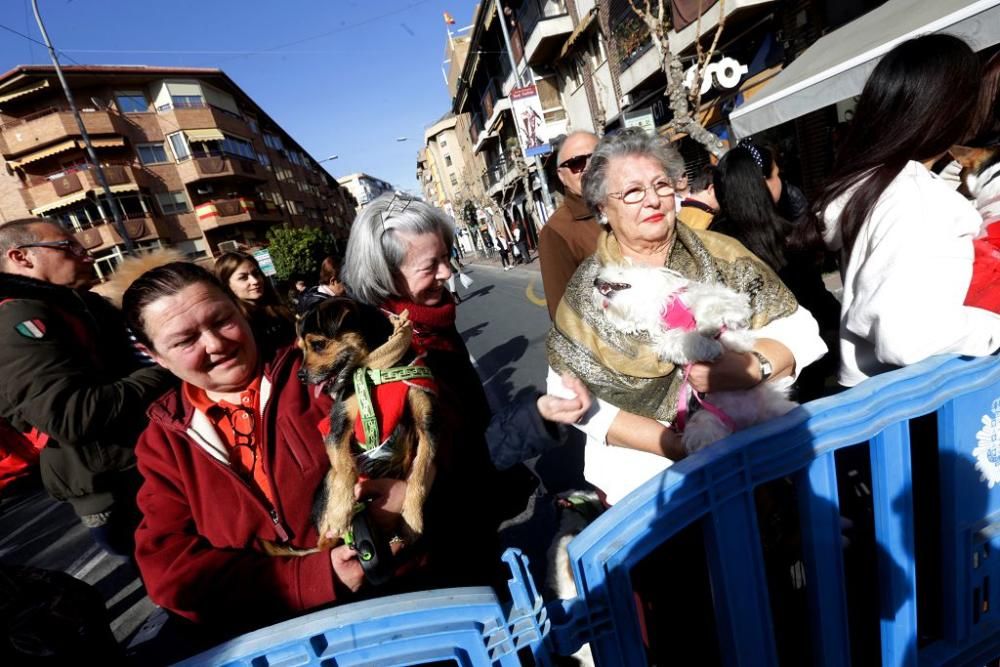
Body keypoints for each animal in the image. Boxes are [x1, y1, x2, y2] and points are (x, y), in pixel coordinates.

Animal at [292, 298, 436, 552]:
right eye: (301, 348)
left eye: (318, 344)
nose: (300, 376)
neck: (377, 368)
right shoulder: (337, 425)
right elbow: (345, 467)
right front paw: (341, 512)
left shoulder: (426, 428)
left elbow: (420, 472)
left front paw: (412, 519)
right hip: (327, 481)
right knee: (324, 541)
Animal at [592, 264, 796, 452]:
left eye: (620, 271)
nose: (594, 280)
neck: (665, 308)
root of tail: (748, 420)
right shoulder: (667, 338)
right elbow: (683, 340)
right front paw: (709, 345)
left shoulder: (724, 296)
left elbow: (710, 302)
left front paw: (710, 324)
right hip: (707, 417)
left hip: (774, 405)